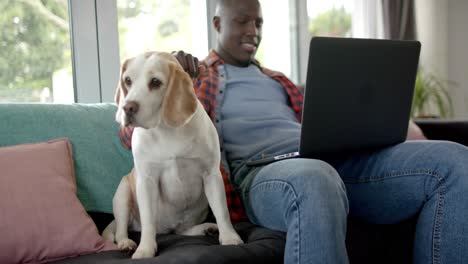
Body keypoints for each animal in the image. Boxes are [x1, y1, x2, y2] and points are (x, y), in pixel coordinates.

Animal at [101, 52, 241, 260]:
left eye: (155, 82)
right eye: (127, 80)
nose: (127, 107)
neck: (166, 129)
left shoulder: (211, 175)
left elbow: (222, 211)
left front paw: (230, 237)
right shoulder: (147, 181)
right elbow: (148, 221)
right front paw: (145, 249)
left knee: (181, 230)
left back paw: (205, 228)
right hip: (123, 193)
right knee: (120, 230)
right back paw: (126, 243)